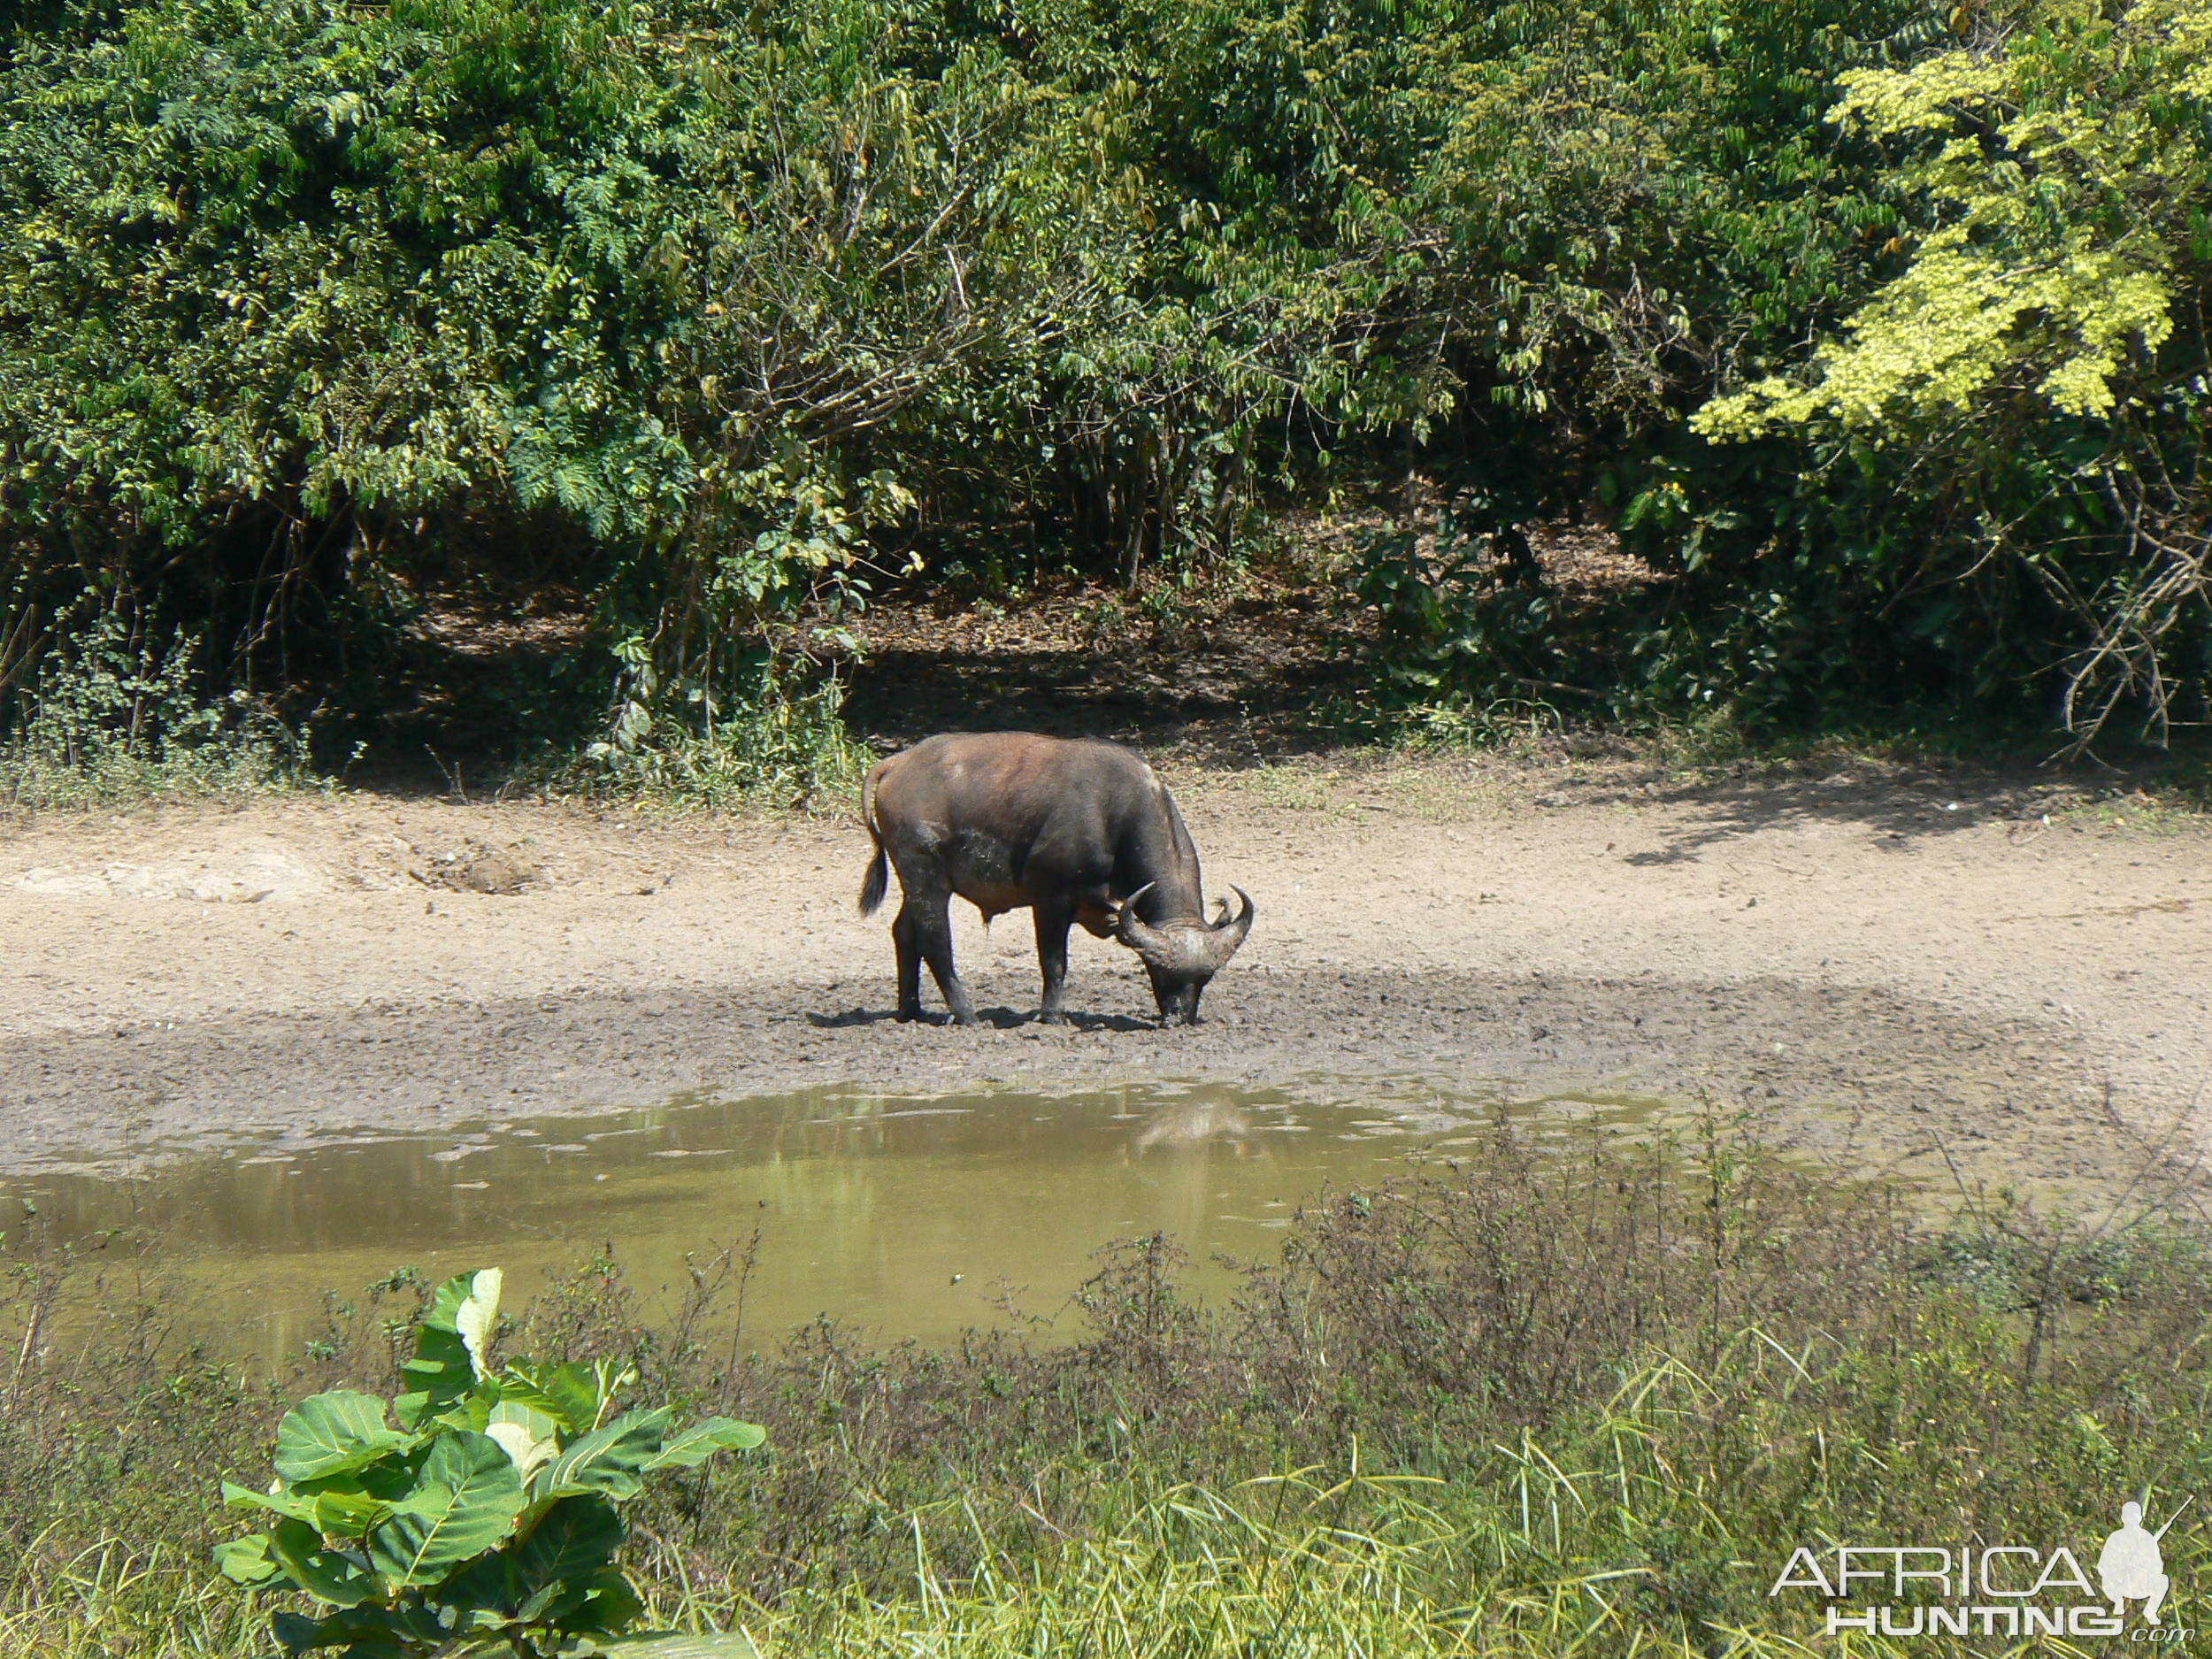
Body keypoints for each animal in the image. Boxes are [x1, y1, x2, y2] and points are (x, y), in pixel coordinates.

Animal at [854, 739, 1256, 1026]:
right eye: (1158, 970)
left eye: (1205, 978)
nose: (1178, 1018)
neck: (1112, 811)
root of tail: (897, 764)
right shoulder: (1051, 900)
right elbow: (1054, 961)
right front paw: (1052, 1015)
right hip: (926, 876)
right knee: (936, 940)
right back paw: (967, 1014)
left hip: (916, 883)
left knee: (904, 932)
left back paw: (911, 1010)